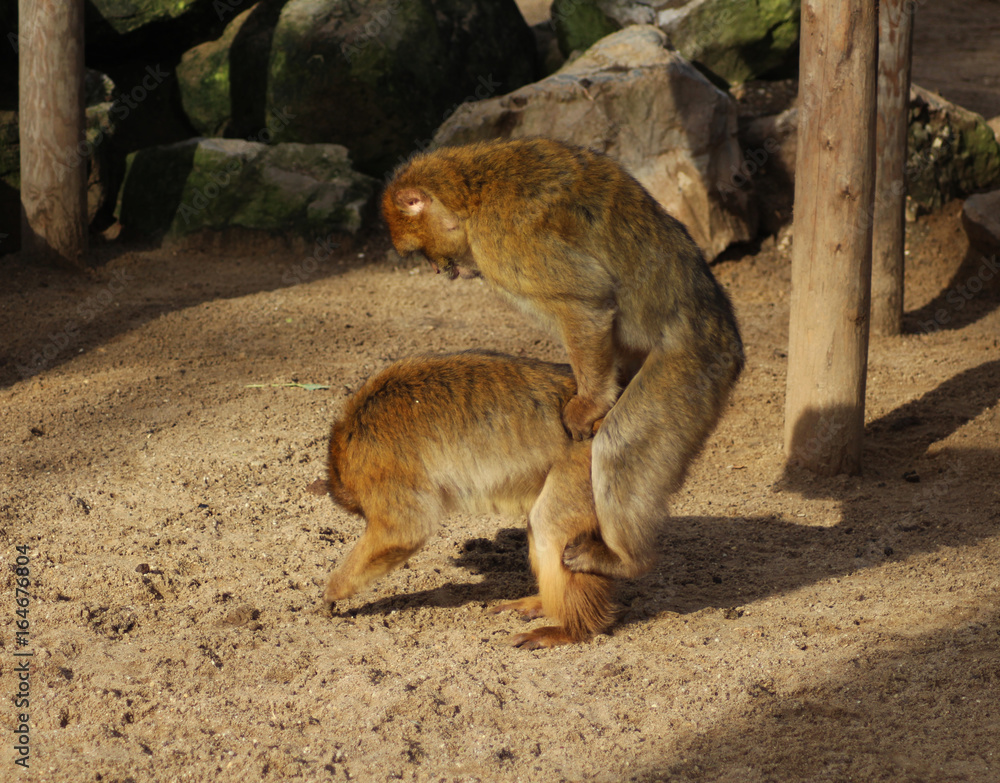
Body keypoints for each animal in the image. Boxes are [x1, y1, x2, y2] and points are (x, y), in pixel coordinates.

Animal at [322, 350, 615, 649]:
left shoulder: (377, 462)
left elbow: (404, 532)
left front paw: (333, 591)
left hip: (591, 459)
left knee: (548, 525)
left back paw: (574, 629)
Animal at [382, 137, 745, 580]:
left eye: (421, 252)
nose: (437, 269)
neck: (472, 194)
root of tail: (728, 338)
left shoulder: (504, 235)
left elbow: (586, 301)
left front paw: (587, 405)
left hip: (693, 368)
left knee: (620, 447)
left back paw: (624, 560)